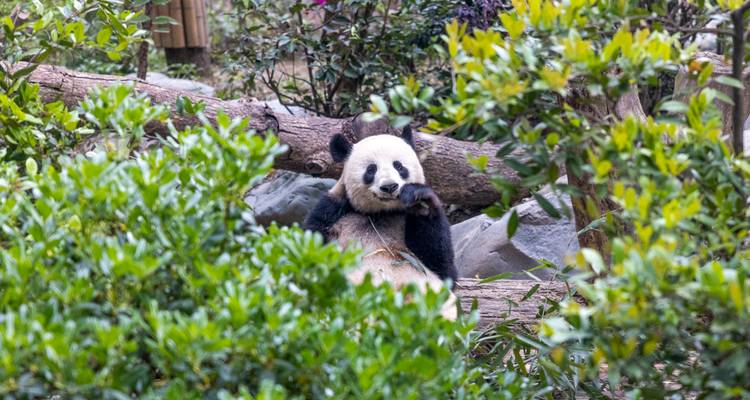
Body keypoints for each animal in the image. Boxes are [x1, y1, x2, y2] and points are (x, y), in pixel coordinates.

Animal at [304, 126, 459, 320]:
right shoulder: (332, 211)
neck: (381, 213)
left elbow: (443, 267)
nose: (389, 186)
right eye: (371, 169)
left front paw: (419, 199)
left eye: (399, 166)